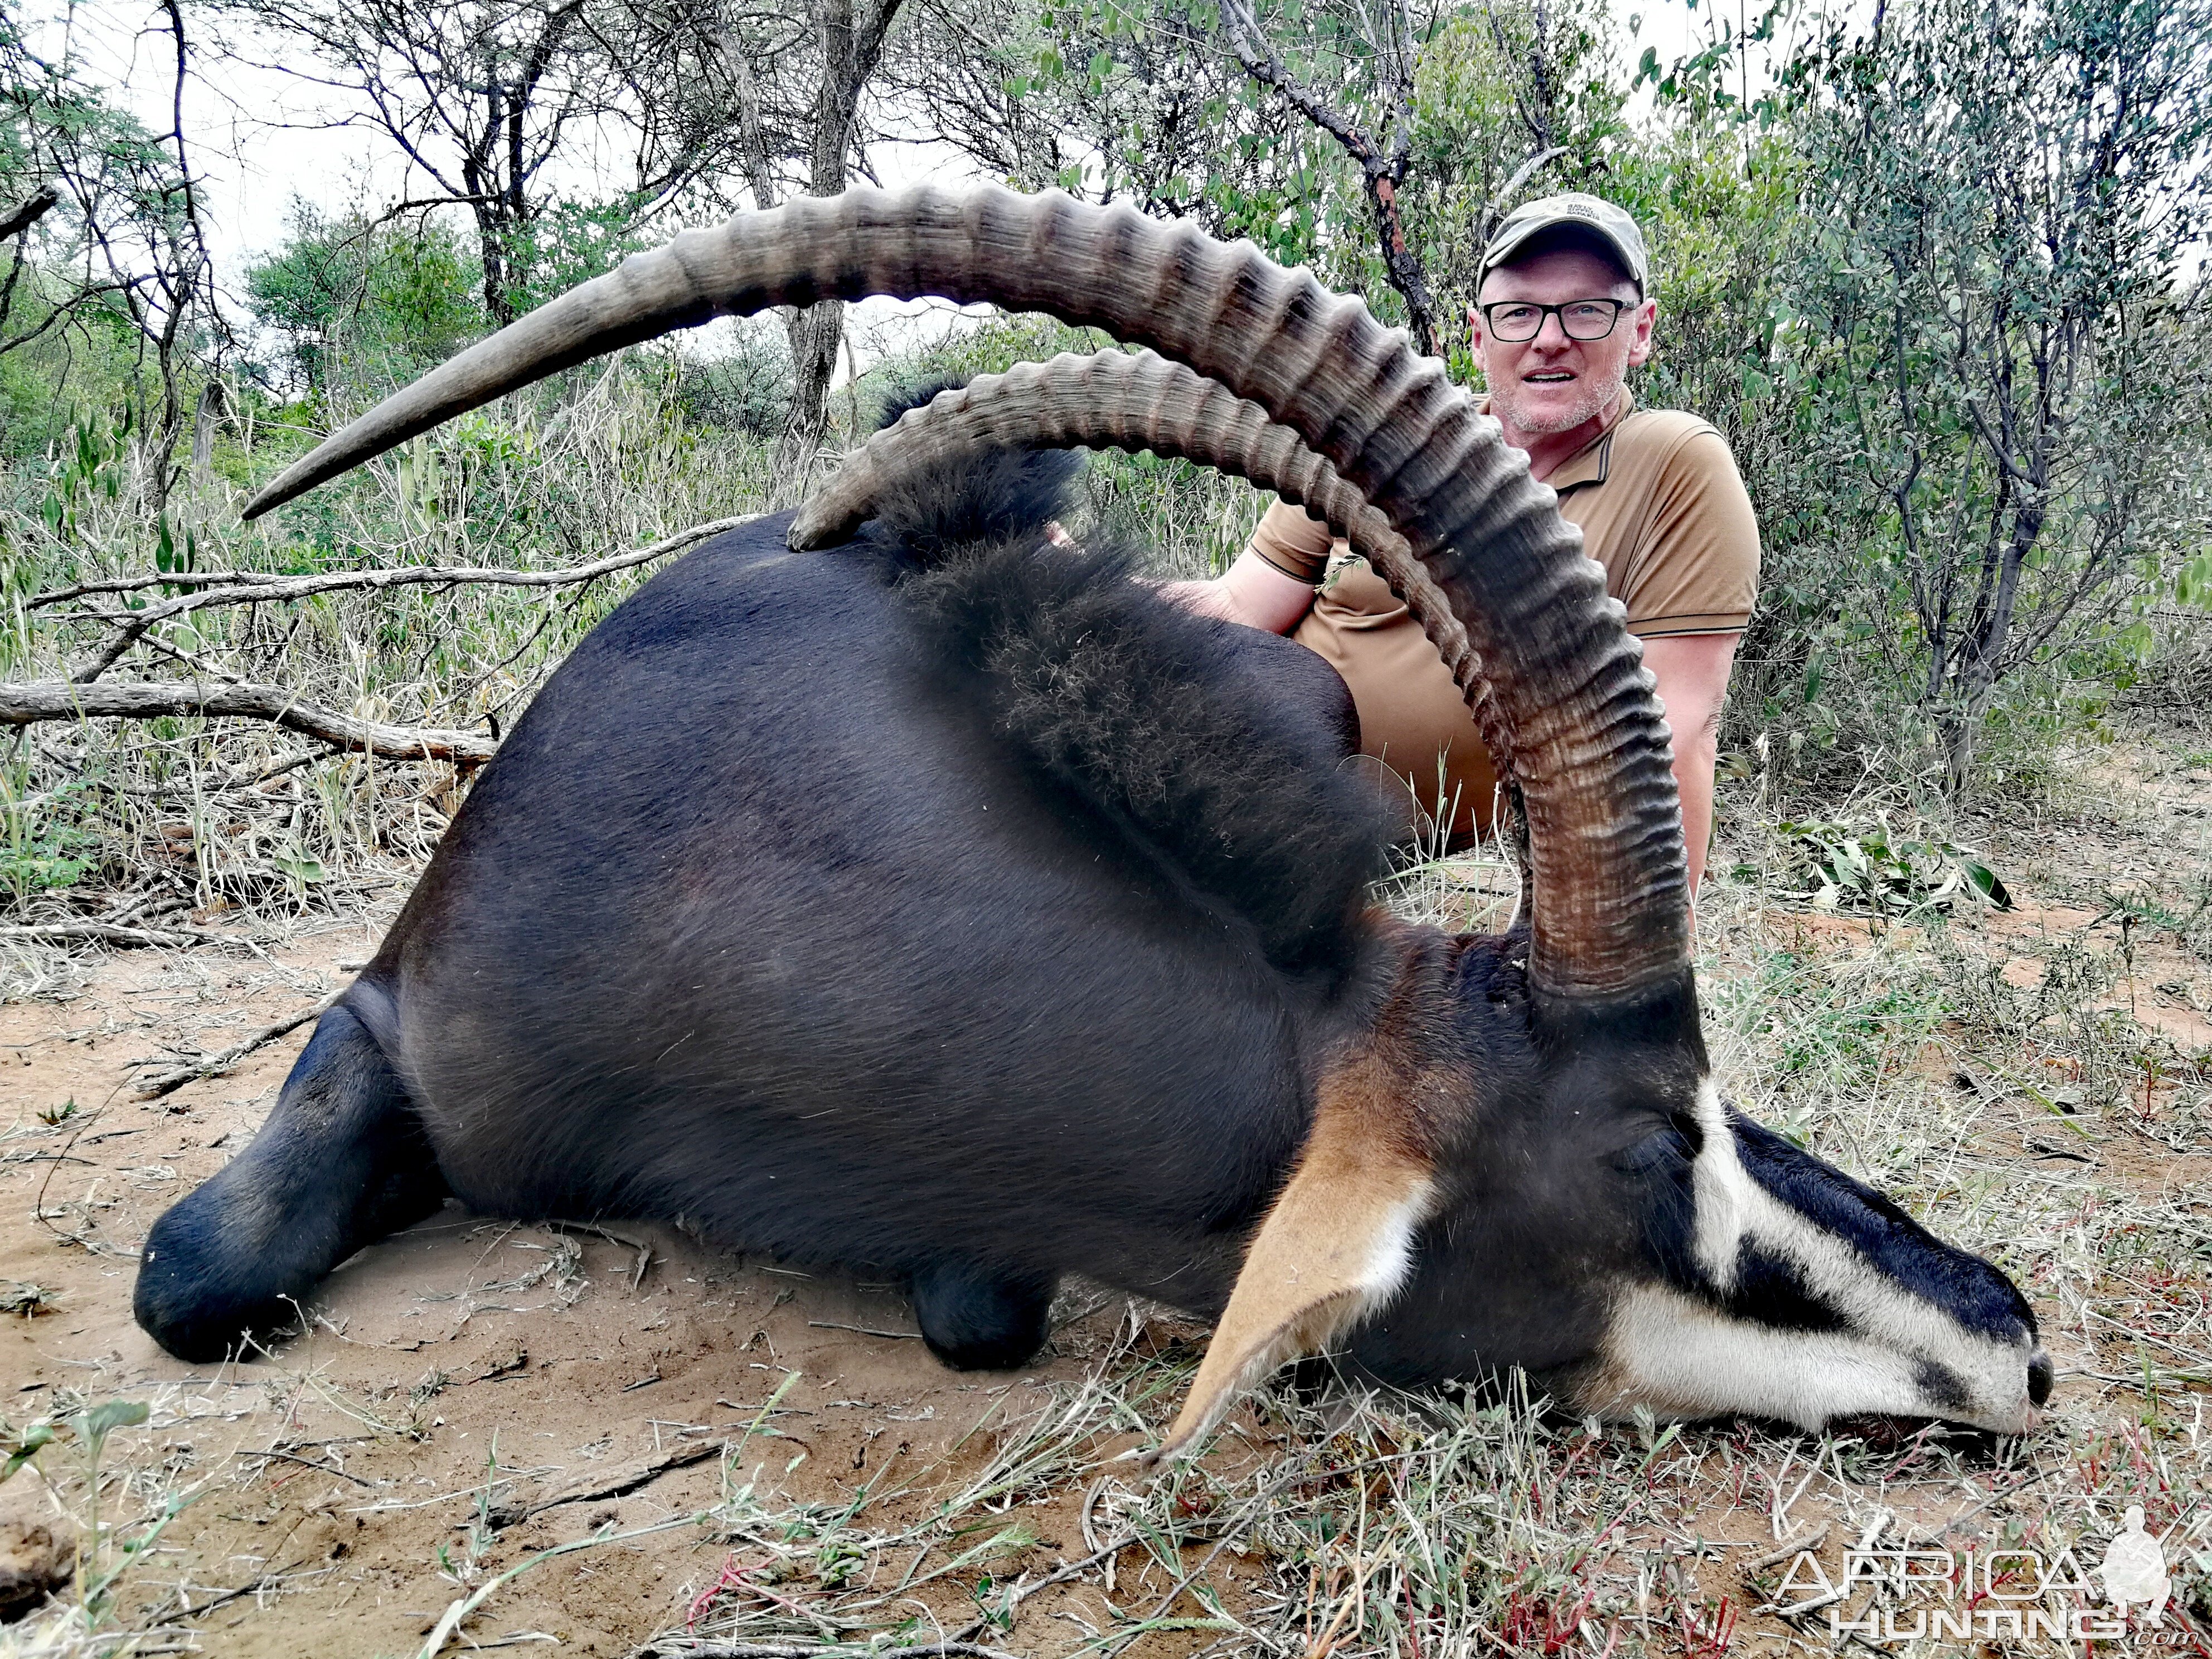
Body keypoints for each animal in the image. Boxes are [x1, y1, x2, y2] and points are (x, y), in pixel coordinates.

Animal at [129, 185, 2044, 1451]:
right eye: (1650, 1147)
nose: (2017, 1340)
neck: (737, 863)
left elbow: (988, 1301)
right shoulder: (395, 1016)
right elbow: (188, 1270)